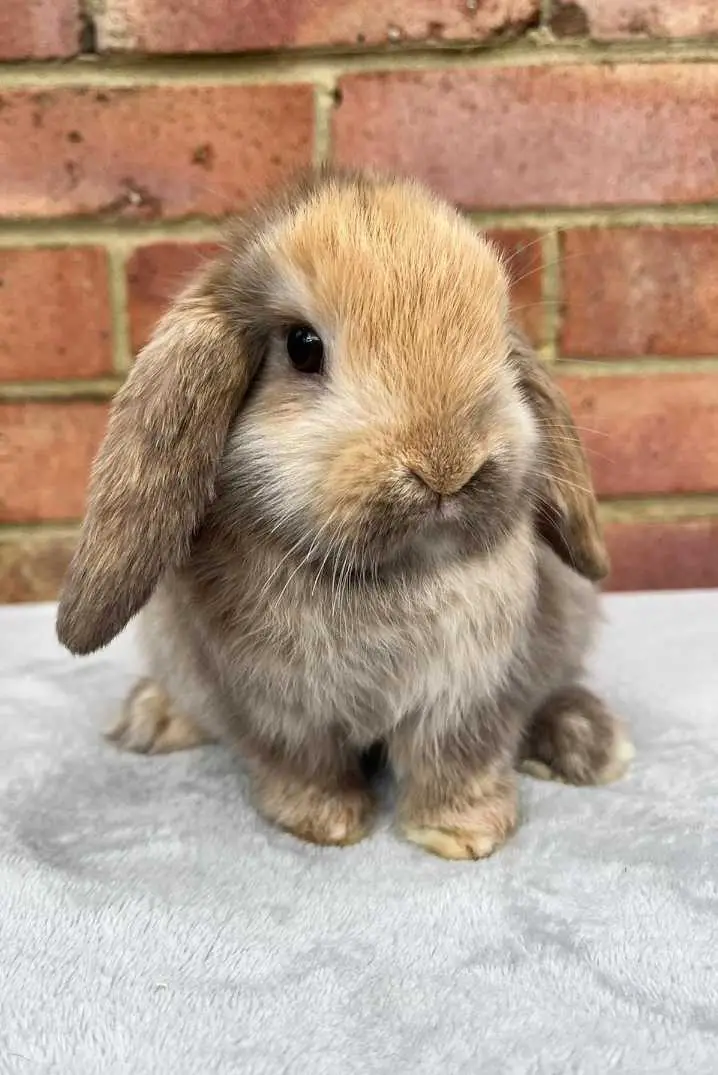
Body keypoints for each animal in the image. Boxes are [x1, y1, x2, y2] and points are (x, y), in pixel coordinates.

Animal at [56, 167, 632, 860]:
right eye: (303, 347)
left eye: (497, 334)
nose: (447, 465)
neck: (390, 572)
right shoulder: (274, 705)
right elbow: (300, 762)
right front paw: (324, 823)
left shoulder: (469, 694)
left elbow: (458, 759)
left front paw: (463, 834)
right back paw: (153, 718)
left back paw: (588, 742)